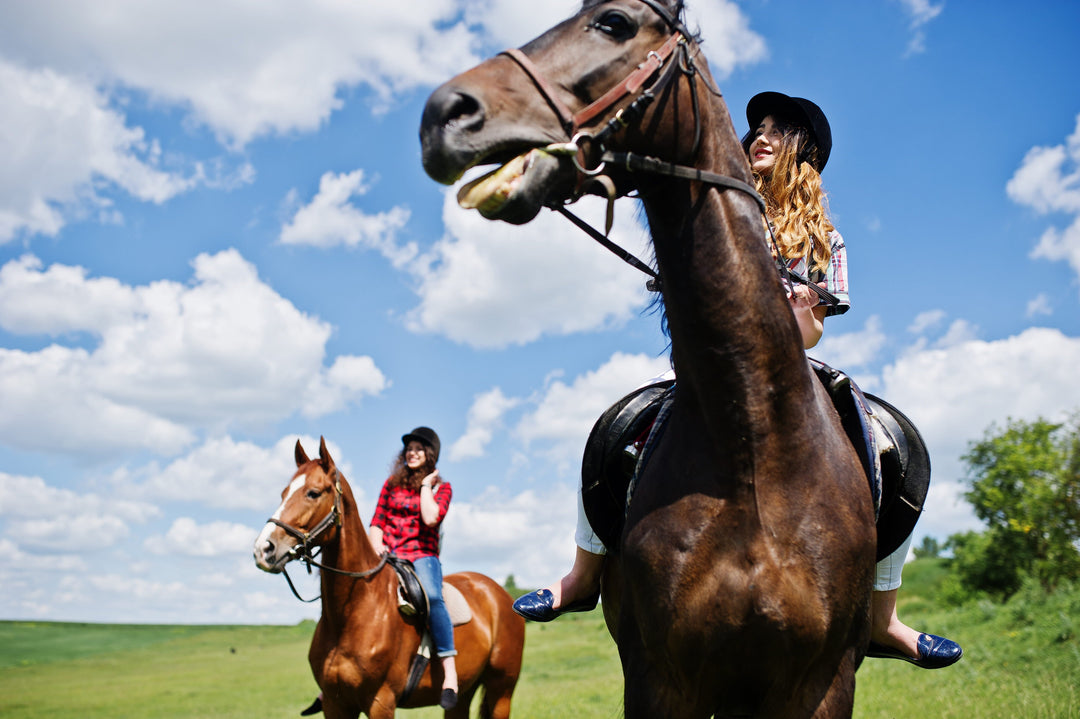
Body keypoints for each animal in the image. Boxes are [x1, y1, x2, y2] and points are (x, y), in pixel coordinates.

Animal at [253, 437, 525, 719]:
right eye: (283, 493)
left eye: (313, 493)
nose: (264, 548)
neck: (353, 613)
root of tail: (498, 593)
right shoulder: (335, 703)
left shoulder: (380, 701)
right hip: (464, 693)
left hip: (501, 689)